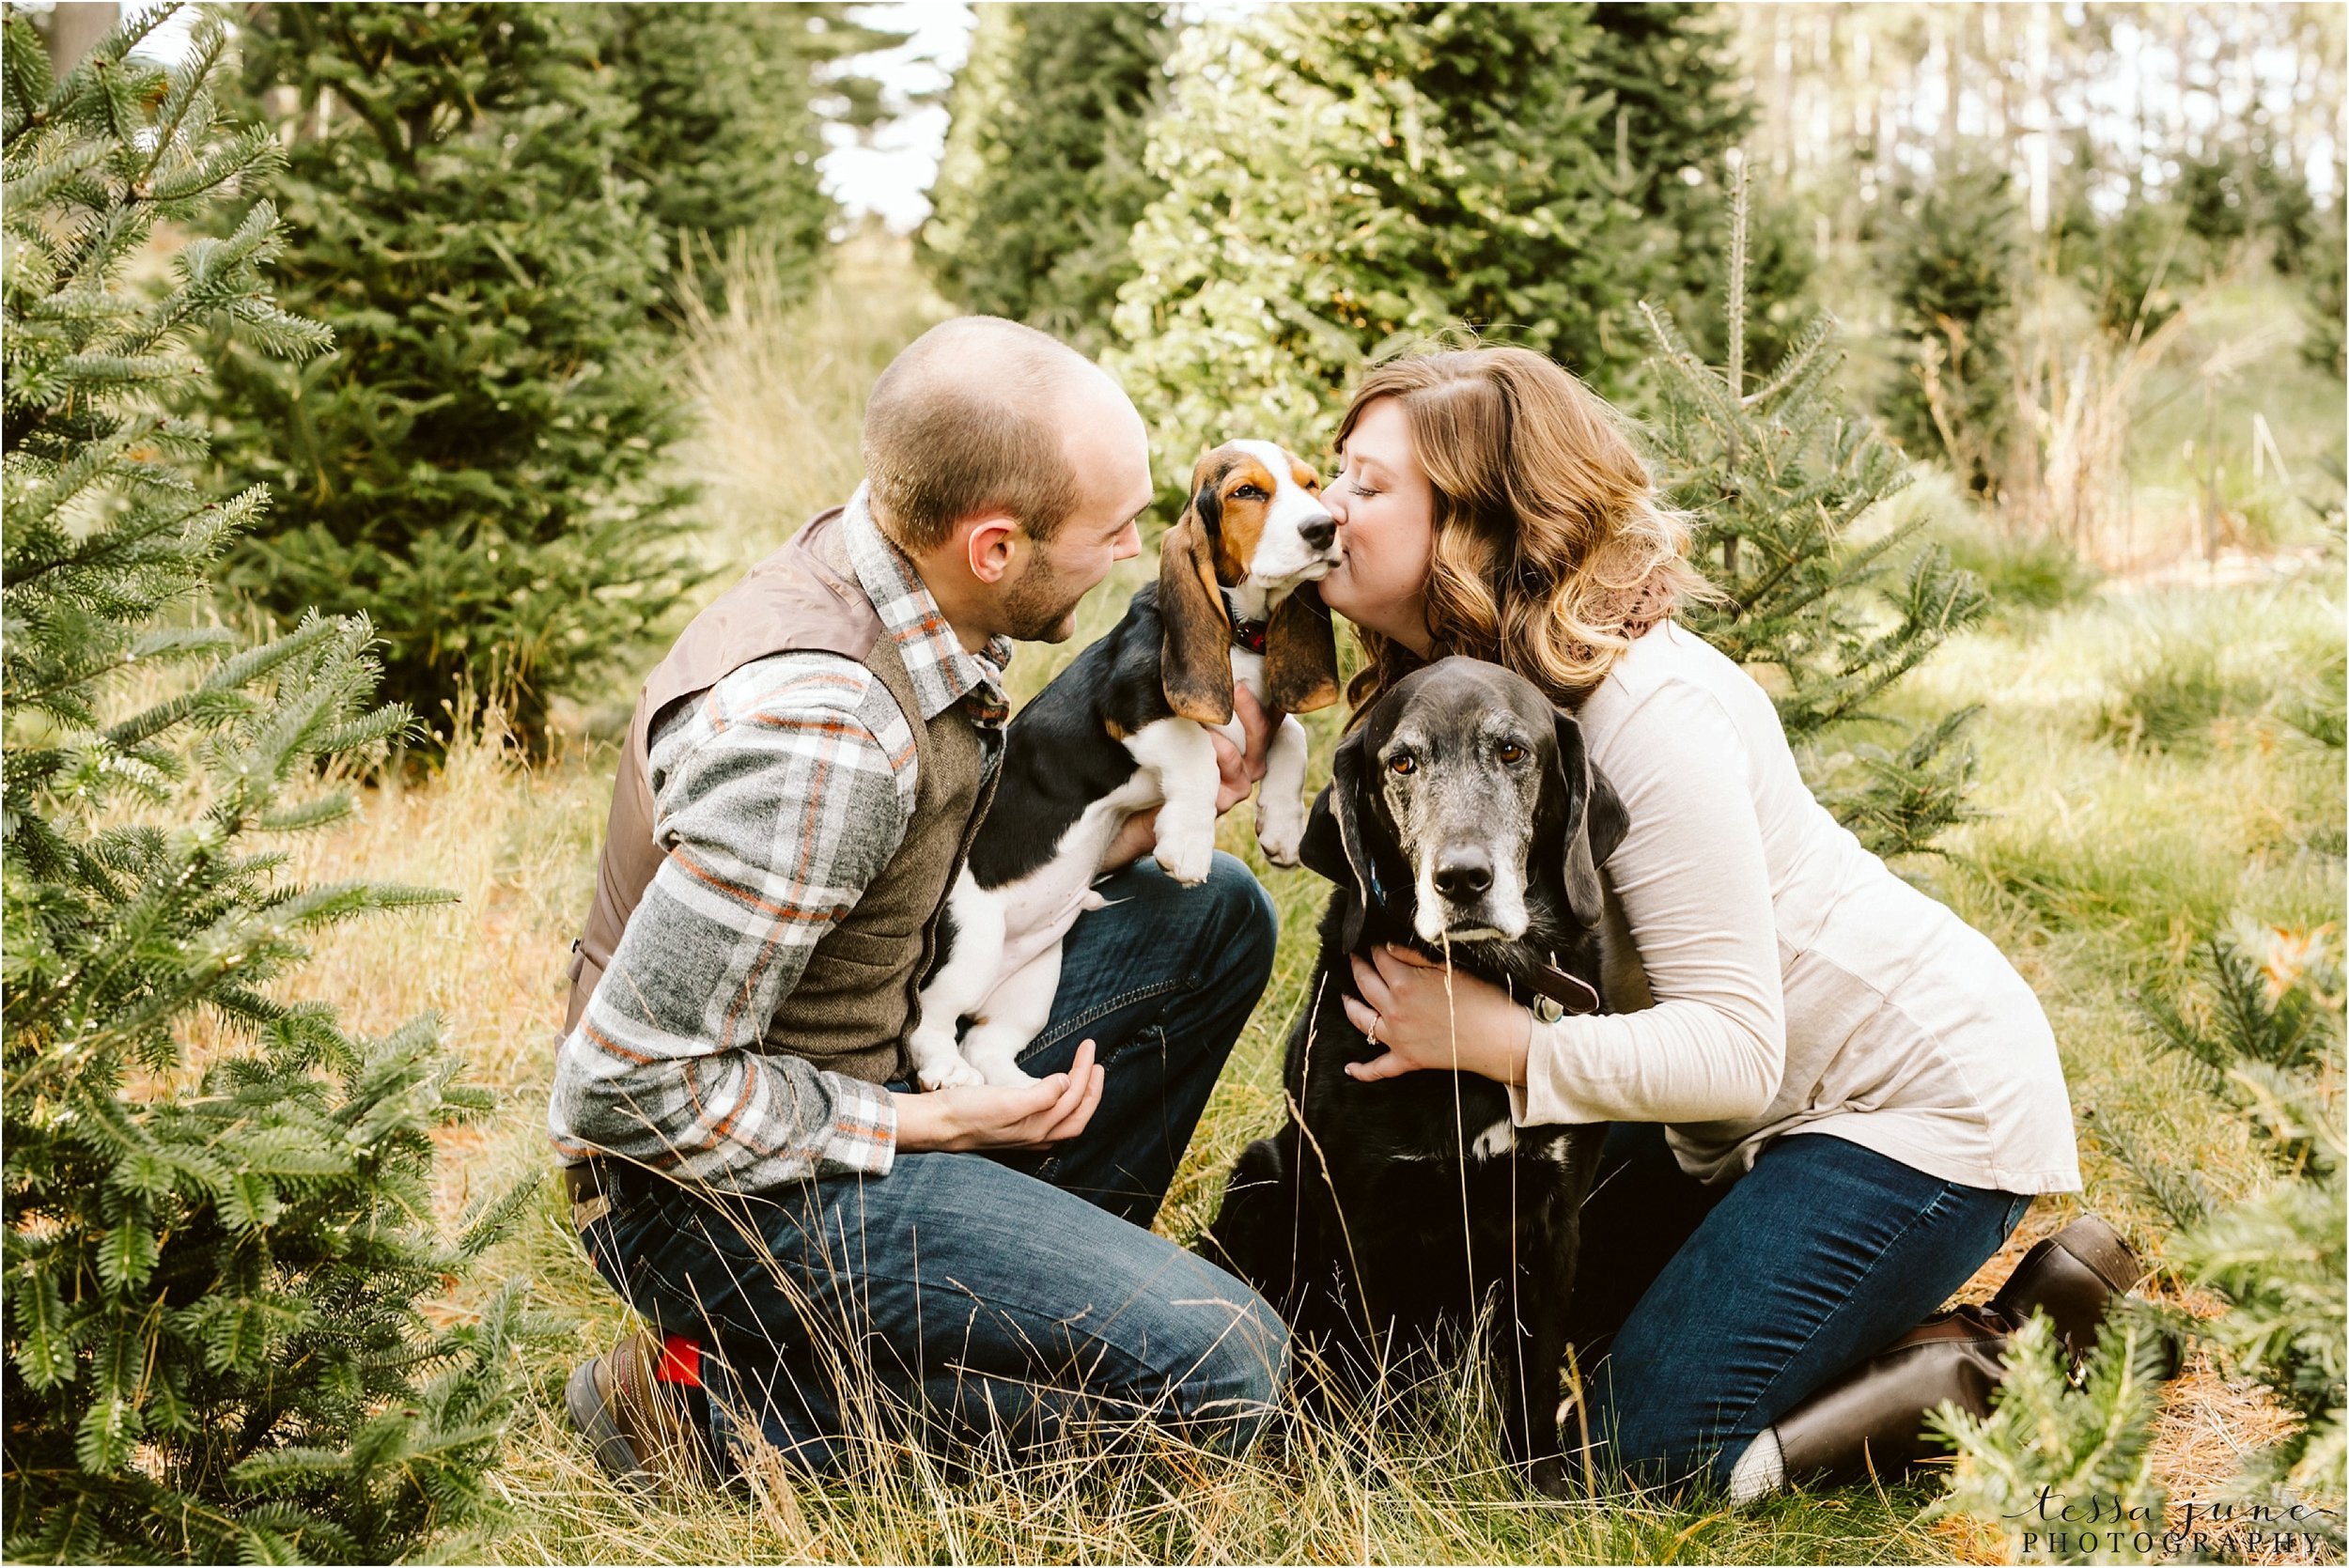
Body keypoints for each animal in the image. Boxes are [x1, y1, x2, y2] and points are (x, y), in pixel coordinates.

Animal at [1203, 657, 1626, 1502]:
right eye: (1401, 763)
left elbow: (1534, 1367)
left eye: (1512, 750)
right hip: (1261, 1176)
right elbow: (1370, 1364)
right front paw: (1372, 1474)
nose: (1462, 878)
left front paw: (1538, 1483)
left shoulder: (1555, 1214)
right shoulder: (1364, 1214)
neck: (1473, 992)